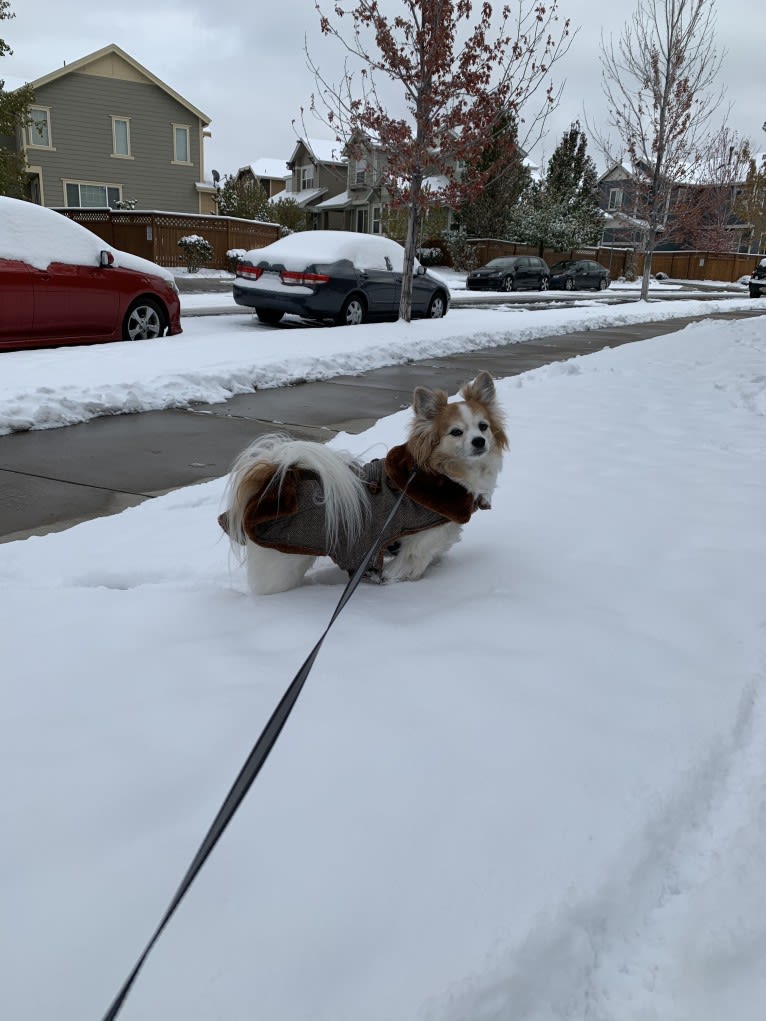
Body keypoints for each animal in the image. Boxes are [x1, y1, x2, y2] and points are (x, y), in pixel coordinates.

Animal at [220, 369, 510, 596]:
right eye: (456, 432)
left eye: (483, 426)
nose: (479, 442)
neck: (438, 473)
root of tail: (269, 484)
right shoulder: (418, 543)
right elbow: (408, 567)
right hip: (283, 565)